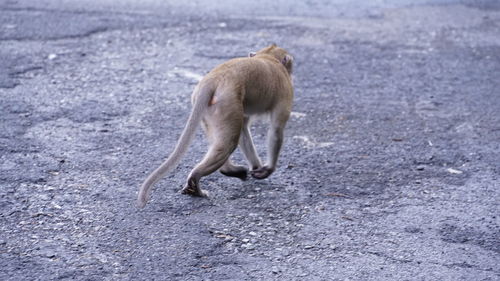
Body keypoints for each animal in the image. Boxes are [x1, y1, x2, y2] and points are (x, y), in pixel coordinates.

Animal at [137, 43, 292, 206]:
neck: (268, 57)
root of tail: (213, 79)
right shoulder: (286, 91)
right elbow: (276, 130)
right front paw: (268, 169)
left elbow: (244, 127)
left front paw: (257, 167)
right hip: (227, 103)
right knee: (228, 143)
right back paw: (198, 179)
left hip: (211, 109)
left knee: (221, 142)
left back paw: (226, 170)